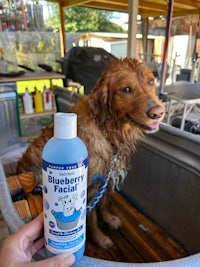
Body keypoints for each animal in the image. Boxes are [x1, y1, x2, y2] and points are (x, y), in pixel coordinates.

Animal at [16, 57, 164, 250]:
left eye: (151, 81)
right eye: (126, 89)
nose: (158, 112)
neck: (107, 130)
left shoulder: (106, 177)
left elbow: (103, 203)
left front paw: (109, 219)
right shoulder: (89, 187)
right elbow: (91, 218)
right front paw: (100, 238)